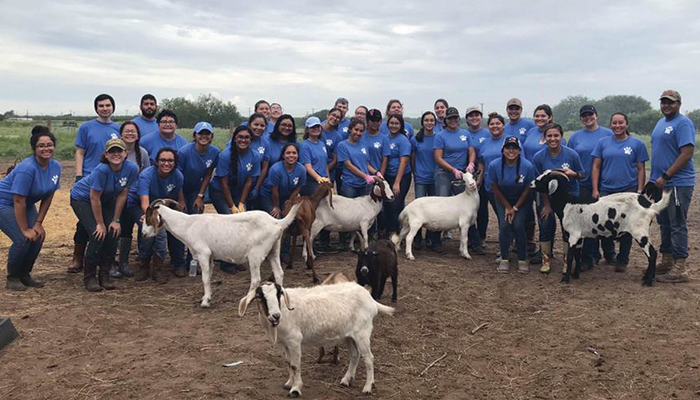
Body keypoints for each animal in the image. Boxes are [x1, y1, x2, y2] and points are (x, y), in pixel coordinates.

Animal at [142, 199, 300, 306]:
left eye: (147, 218)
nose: (143, 234)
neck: (188, 225)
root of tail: (277, 223)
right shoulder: (210, 256)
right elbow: (209, 276)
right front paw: (207, 297)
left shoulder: (203, 253)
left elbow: (205, 278)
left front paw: (205, 302)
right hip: (274, 250)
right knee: (279, 273)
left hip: (256, 254)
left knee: (256, 279)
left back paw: (248, 299)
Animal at [239, 282, 394, 396]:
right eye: (260, 297)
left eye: (278, 294)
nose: (276, 315)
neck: (284, 309)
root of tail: (370, 298)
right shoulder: (286, 343)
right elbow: (289, 362)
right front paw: (289, 383)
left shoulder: (294, 340)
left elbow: (295, 365)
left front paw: (295, 389)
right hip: (348, 336)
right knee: (355, 355)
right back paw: (345, 380)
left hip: (363, 332)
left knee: (368, 358)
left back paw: (368, 387)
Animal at [532, 170, 672, 286]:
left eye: (544, 179)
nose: (531, 183)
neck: (567, 203)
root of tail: (649, 205)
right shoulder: (579, 237)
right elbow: (577, 255)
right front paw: (575, 274)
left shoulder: (573, 235)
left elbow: (570, 256)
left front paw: (566, 278)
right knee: (652, 254)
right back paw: (647, 278)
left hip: (640, 232)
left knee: (652, 254)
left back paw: (648, 281)